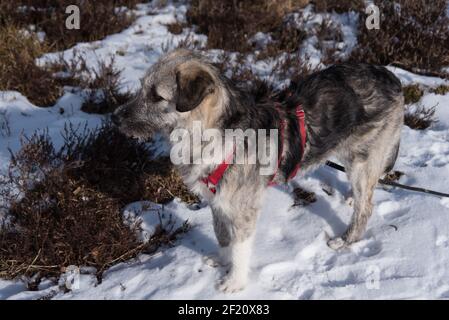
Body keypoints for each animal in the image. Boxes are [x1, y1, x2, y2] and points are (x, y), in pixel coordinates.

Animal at [111, 48, 402, 292]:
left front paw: (234, 282)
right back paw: (352, 197)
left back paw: (347, 239)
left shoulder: (243, 209)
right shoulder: (218, 201)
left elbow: (240, 249)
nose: (114, 118)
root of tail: (391, 77)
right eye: (141, 88)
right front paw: (222, 260)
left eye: (157, 96)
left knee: (366, 207)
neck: (213, 134)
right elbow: (222, 236)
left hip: (362, 161)